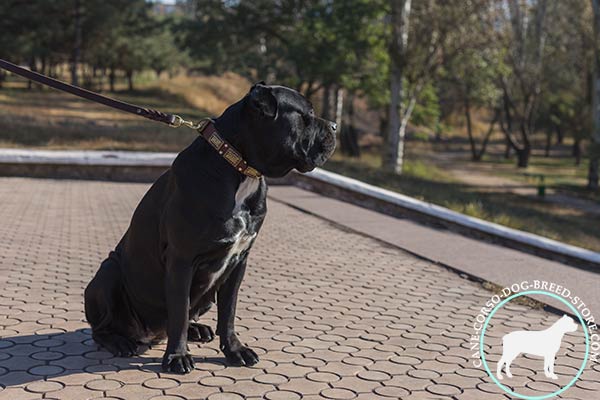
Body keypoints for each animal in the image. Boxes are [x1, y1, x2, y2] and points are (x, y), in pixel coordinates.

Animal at [83, 83, 338, 374]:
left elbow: (228, 313)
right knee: (102, 328)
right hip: (108, 273)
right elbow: (179, 312)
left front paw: (235, 350)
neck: (240, 168)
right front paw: (177, 356)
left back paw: (197, 330)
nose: (334, 126)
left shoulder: (238, 262)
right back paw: (120, 341)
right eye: (307, 115)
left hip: (205, 297)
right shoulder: (181, 260)